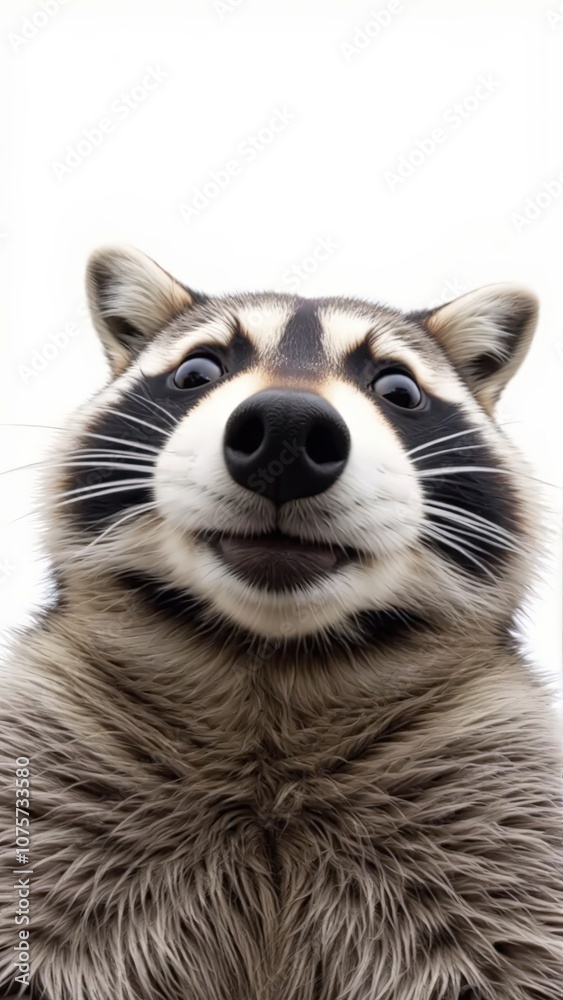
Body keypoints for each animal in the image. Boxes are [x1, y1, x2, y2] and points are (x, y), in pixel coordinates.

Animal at [0, 246, 561, 1000]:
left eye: (399, 390)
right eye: (197, 372)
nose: (288, 432)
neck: (271, 659)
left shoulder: (496, 801)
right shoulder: (51, 776)